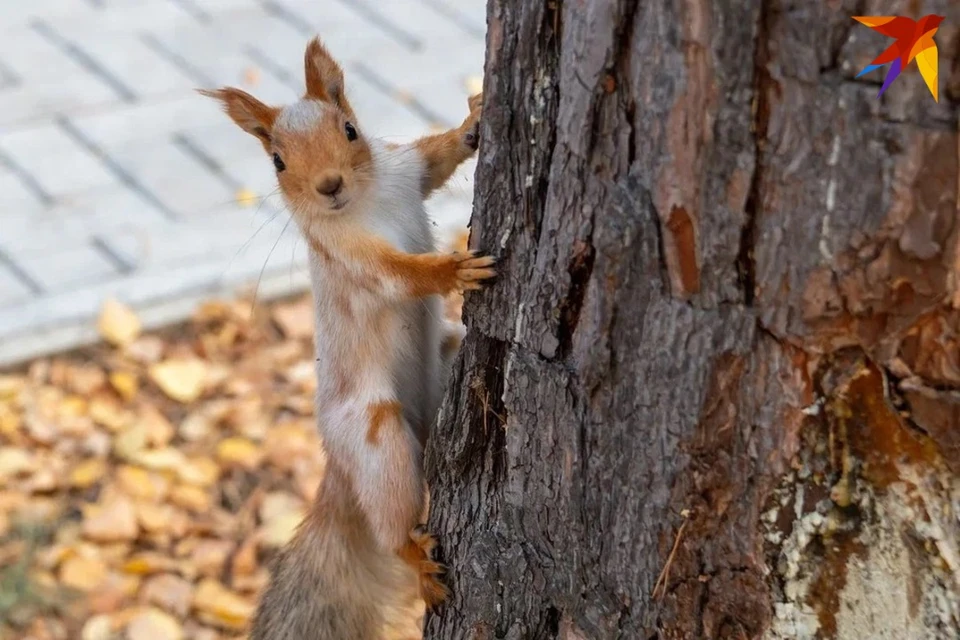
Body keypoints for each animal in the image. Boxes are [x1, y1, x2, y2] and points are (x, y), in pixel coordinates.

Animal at [198, 37, 492, 636]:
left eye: (351, 129)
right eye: (278, 161)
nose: (328, 186)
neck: (367, 200)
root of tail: (338, 470)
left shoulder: (406, 170)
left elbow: (438, 159)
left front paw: (473, 122)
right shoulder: (351, 257)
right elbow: (399, 275)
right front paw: (452, 269)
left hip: (446, 352)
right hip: (373, 440)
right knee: (392, 520)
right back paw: (415, 561)